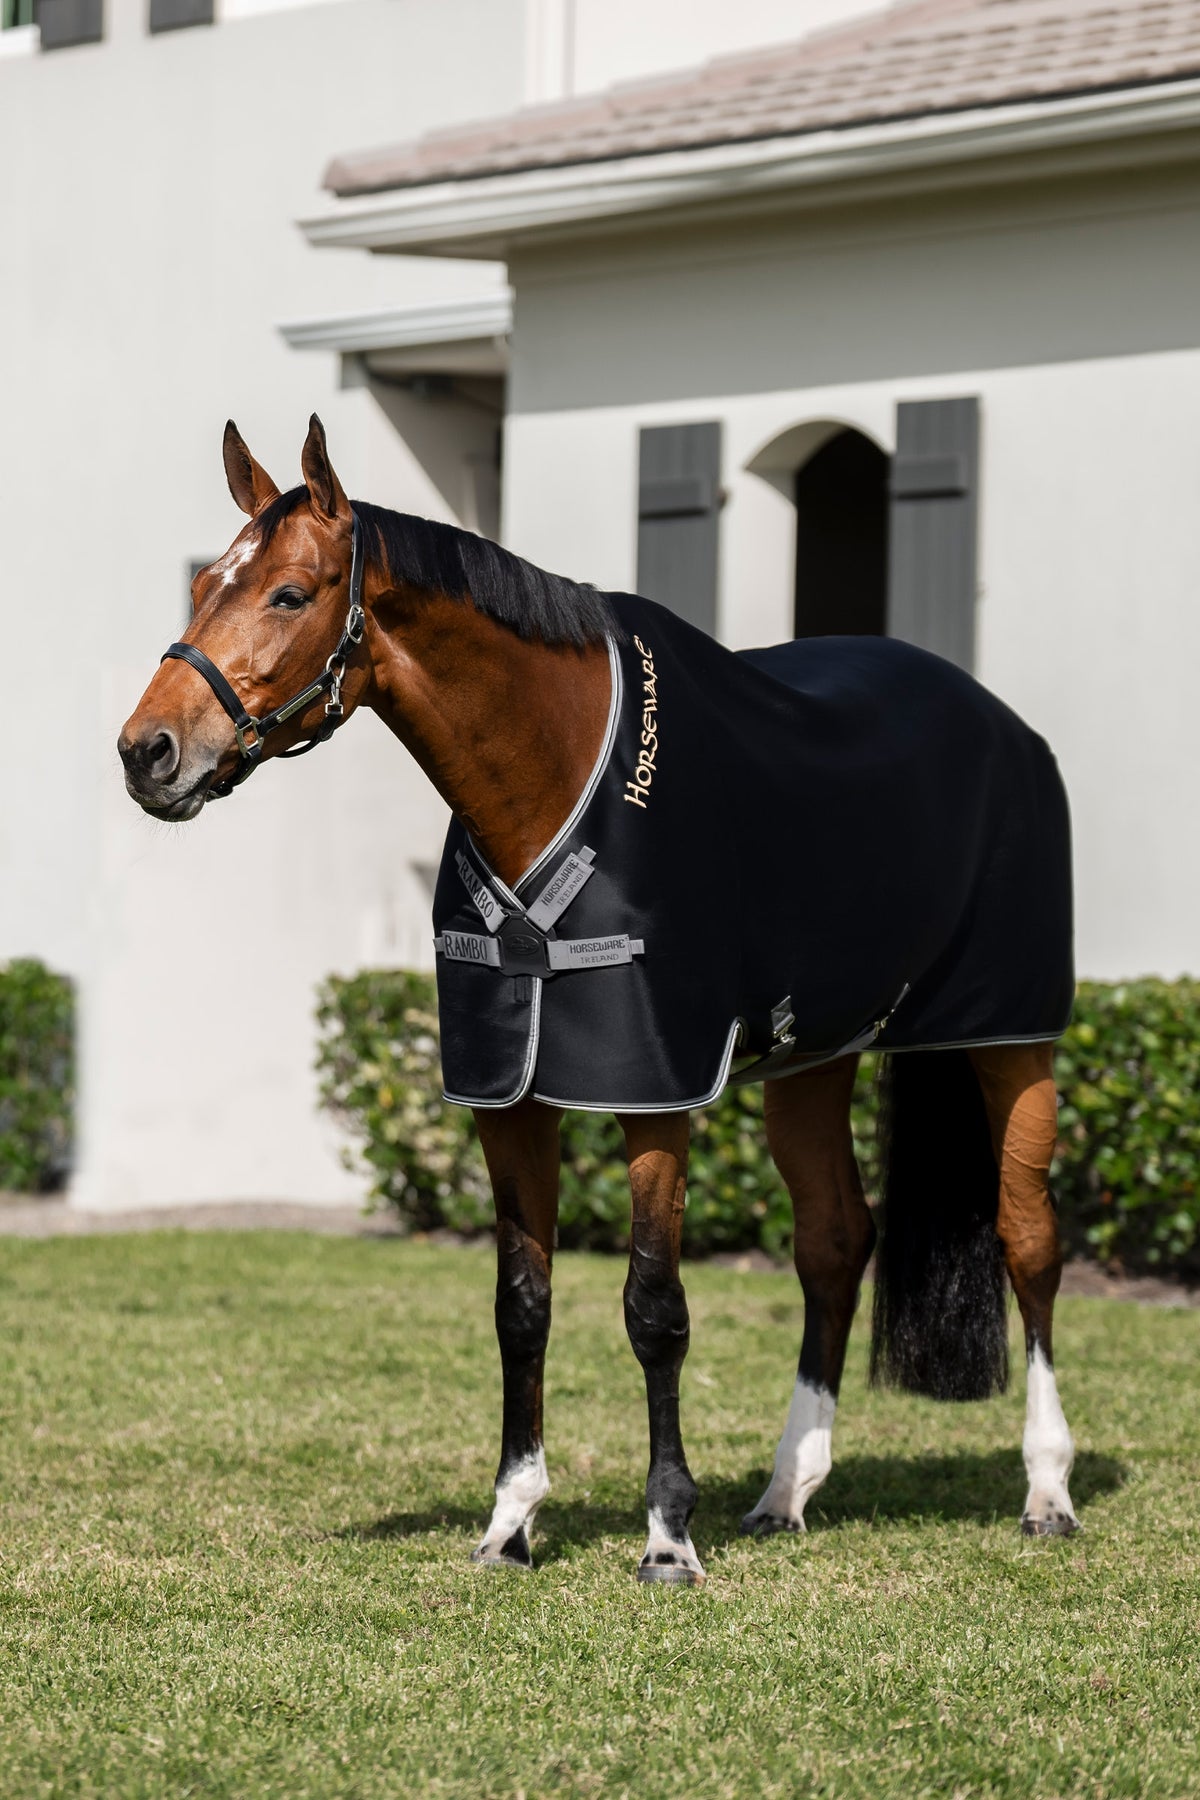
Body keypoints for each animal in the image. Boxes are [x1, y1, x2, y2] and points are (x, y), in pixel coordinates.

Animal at [118, 415, 1079, 1585]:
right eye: (204, 581)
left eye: (291, 594)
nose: (147, 752)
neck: (551, 772)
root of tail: (1004, 724)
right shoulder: (509, 1099)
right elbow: (520, 1307)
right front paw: (510, 1522)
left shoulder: (654, 1095)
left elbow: (653, 1306)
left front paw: (668, 1535)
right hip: (812, 1060)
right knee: (833, 1243)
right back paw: (785, 1490)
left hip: (1012, 1038)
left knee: (1028, 1241)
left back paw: (1046, 1489)